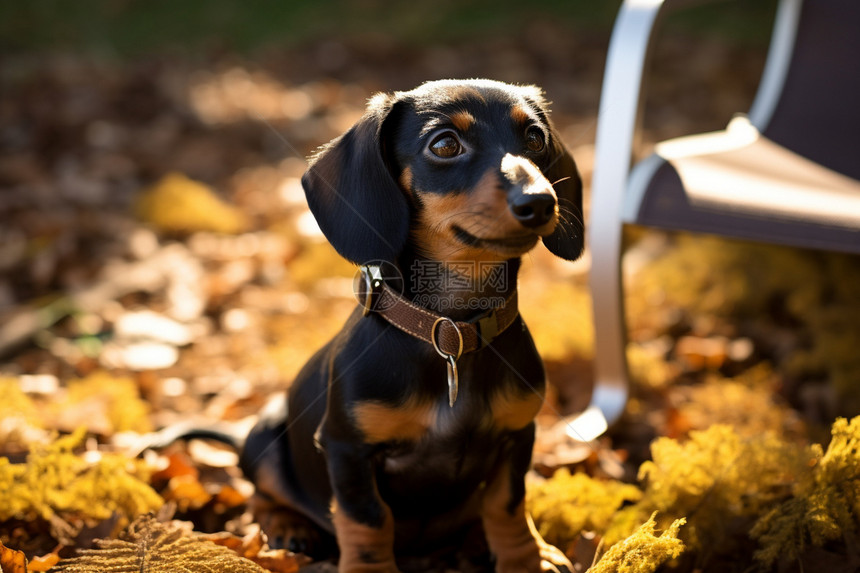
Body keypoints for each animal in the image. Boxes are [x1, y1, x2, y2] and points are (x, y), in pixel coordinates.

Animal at [244, 79, 584, 572]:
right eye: (444, 144)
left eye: (535, 138)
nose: (540, 202)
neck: (452, 332)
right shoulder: (347, 448)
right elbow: (367, 518)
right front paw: (369, 568)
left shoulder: (519, 434)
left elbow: (506, 503)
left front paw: (526, 559)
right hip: (263, 436)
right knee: (263, 493)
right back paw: (290, 526)